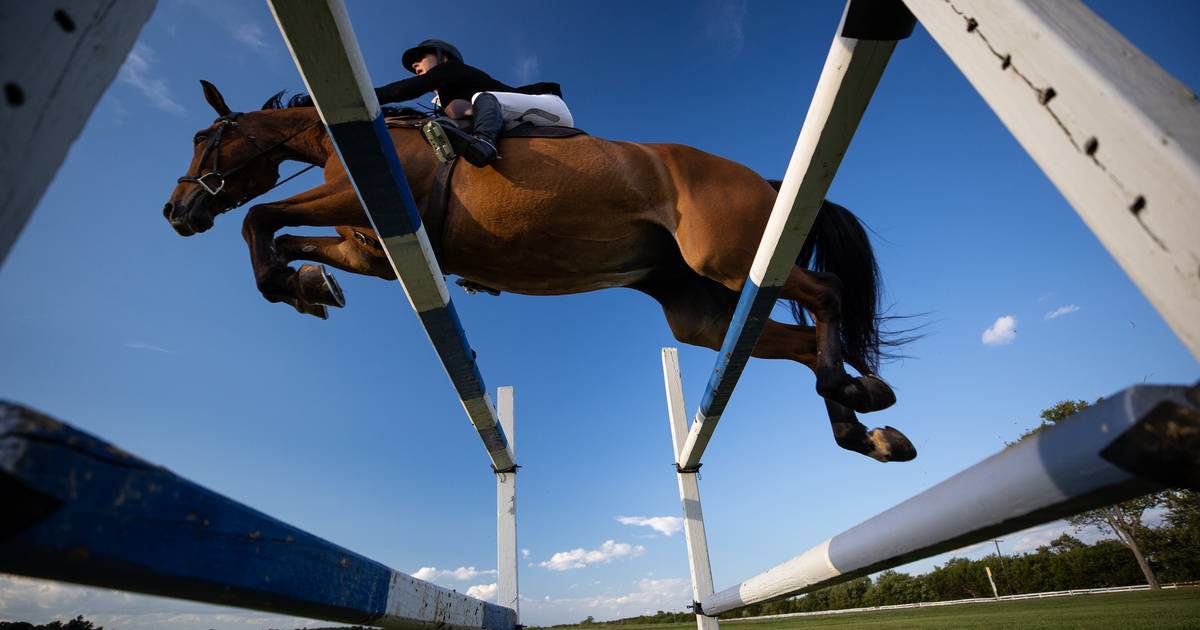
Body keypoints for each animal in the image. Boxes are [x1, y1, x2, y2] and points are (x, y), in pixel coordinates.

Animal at [162, 81, 916, 458]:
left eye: (204, 137)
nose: (175, 211)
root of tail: (763, 180)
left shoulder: (363, 201)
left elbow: (260, 220)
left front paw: (294, 284)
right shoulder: (370, 248)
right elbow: (284, 239)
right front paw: (307, 288)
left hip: (726, 257)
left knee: (828, 294)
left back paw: (855, 396)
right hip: (700, 309)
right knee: (795, 341)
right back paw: (863, 422)